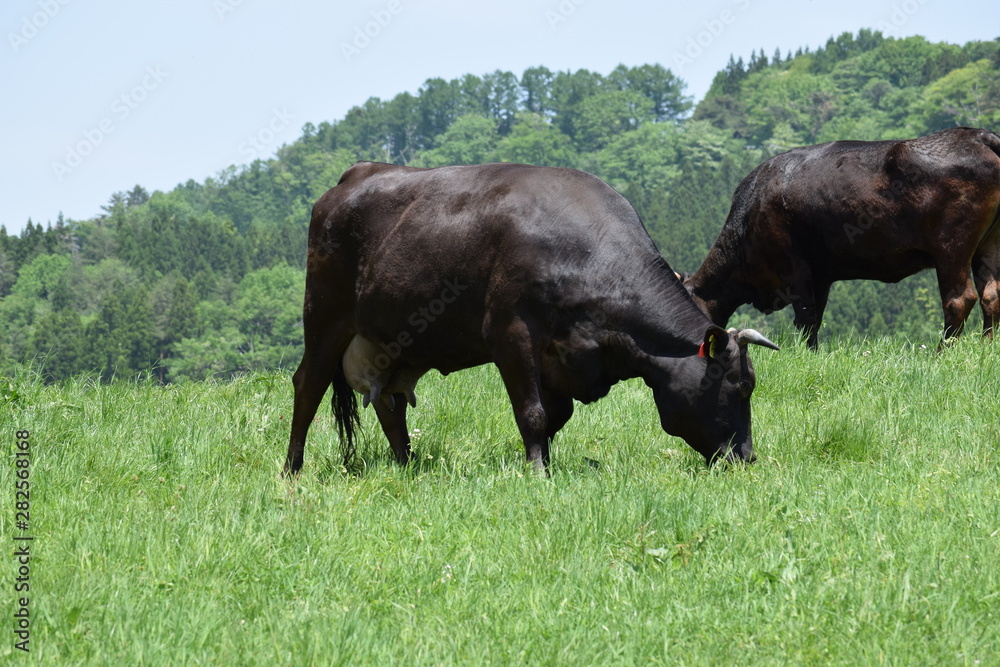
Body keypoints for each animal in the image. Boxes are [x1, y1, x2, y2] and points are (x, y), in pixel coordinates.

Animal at [286, 162, 776, 474]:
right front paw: (538, 474)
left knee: (390, 405)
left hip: (394, 345)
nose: (747, 458)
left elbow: (556, 416)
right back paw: (292, 469)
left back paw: (408, 468)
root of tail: (353, 175)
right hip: (325, 317)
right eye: (739, 387)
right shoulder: (511, 336)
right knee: (307, 386)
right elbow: (534, 414)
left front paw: (545, 464)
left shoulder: (563, 358)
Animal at [684, 126, 1000, 350]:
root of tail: (979, 135)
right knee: (991, 295)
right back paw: (986, 348)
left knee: (959, 300)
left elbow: (806, 317)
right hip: (987, 246)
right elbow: (815, 319)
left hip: (951, 248)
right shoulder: (820, 276)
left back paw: (941, 353)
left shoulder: (793, 267)